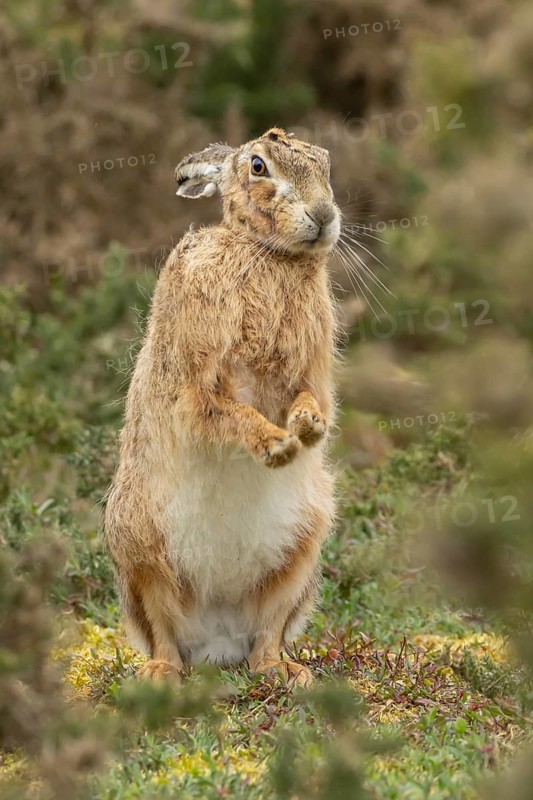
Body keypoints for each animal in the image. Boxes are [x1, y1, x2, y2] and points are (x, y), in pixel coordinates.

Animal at [104, 127, 340, 687]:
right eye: (258, 166)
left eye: (325, 163)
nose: (324, 215)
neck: (266, 252)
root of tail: (216, 640)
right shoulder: (194, 384)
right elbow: (223, 412)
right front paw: (276, 445)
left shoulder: (311, 369)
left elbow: (311, 397)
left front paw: (308, 427)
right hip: (137, 547)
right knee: (163, 628)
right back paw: (160, 675)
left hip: (305, 550)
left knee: (268, 633)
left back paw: (285, 673)